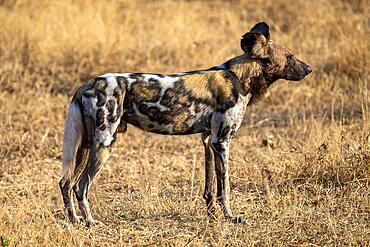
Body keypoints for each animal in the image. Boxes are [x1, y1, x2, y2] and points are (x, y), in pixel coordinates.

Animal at [59, 22, 310, 225]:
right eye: (289, 56)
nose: (309, 69)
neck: (239, 77)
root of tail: (88, 83)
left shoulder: (209, 140)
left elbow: (210, 187)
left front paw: (212, 215)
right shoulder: (222, 142)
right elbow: (225, 187)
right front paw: (230, 217)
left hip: (86, 146)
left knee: (66, 183)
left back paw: (75, 219)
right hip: (104, 143)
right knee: (81, 186)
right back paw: (90, 221)